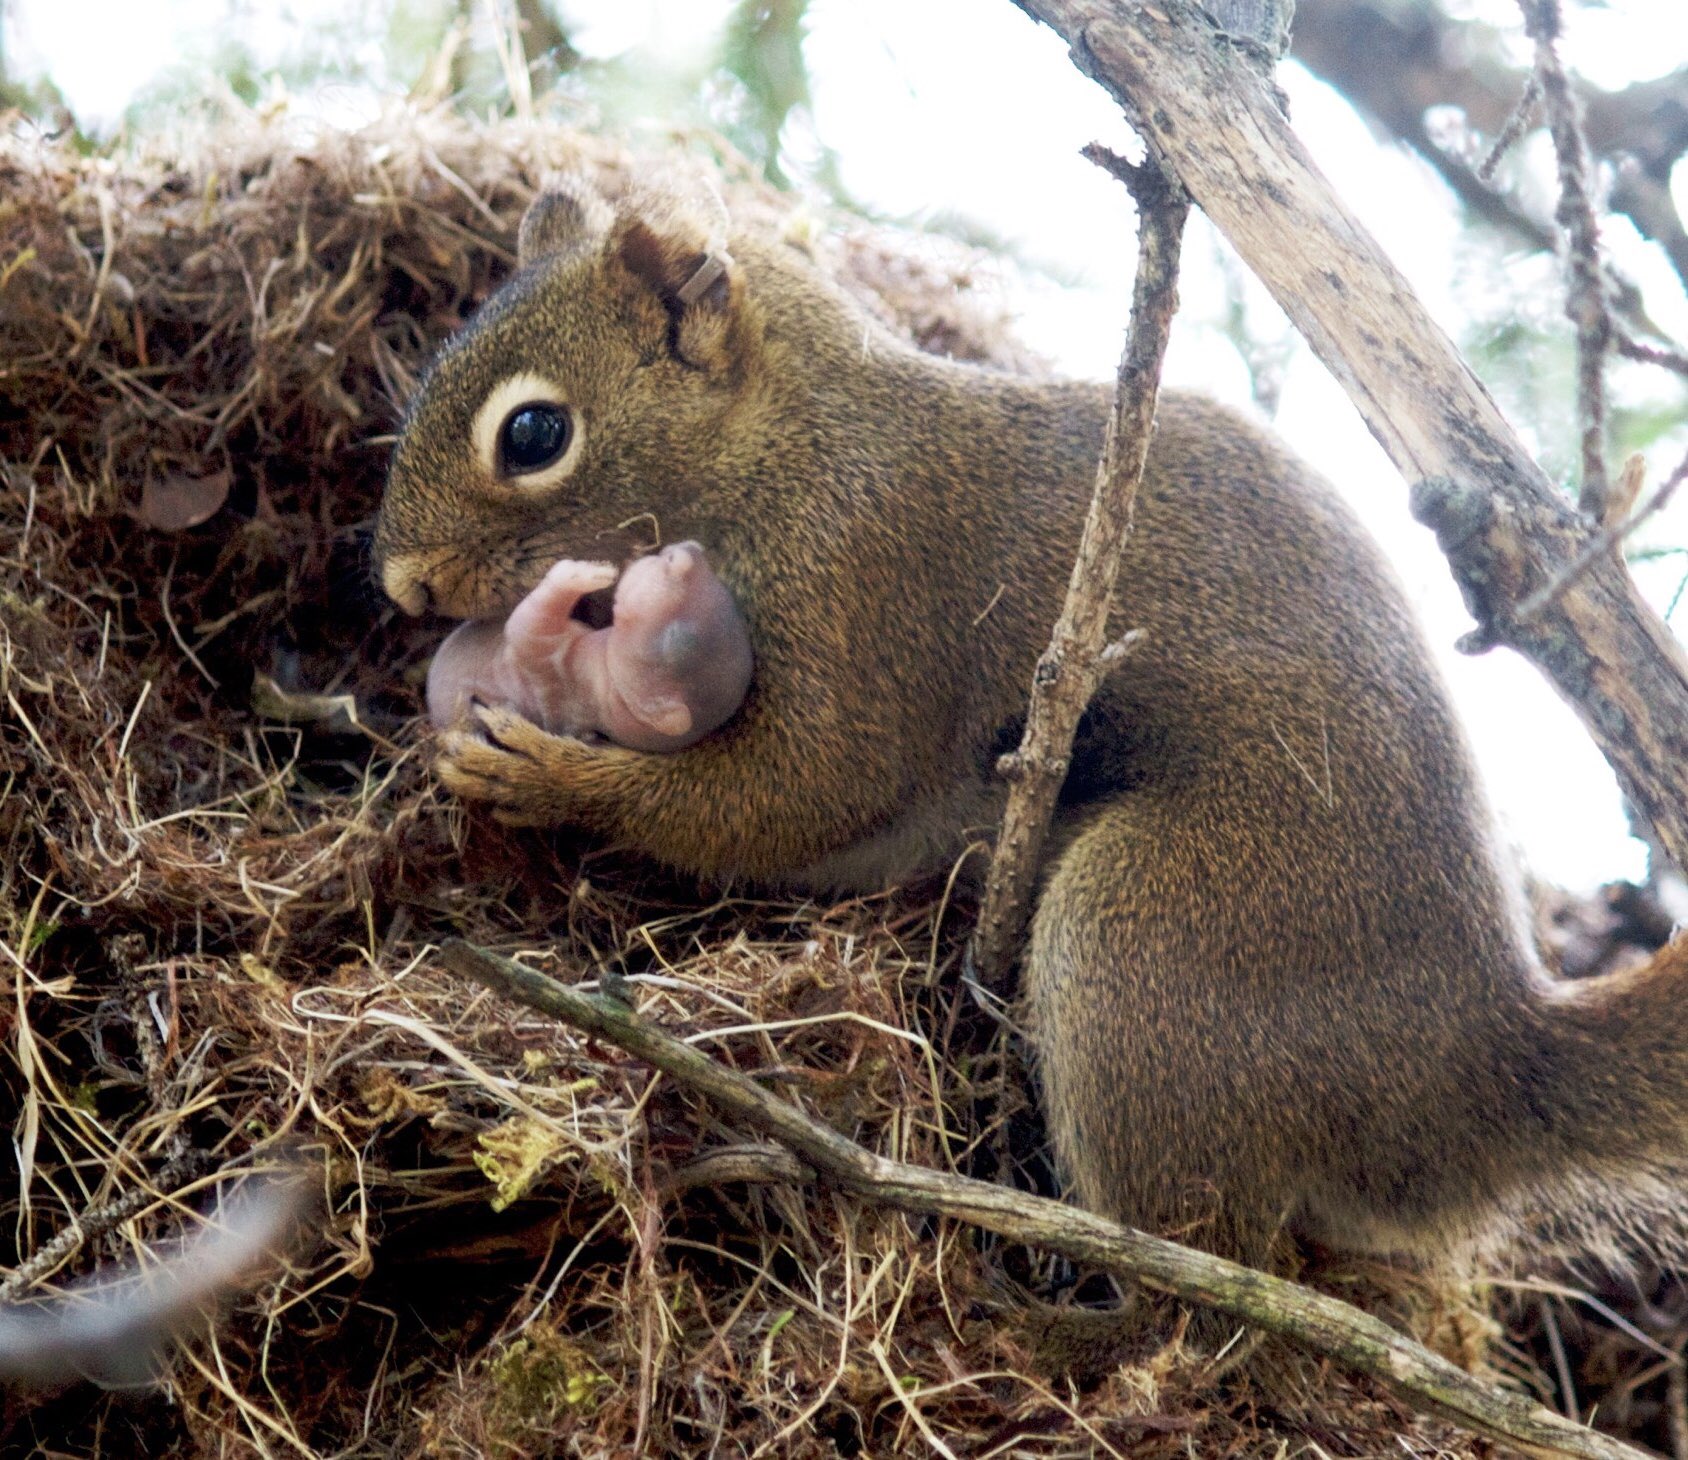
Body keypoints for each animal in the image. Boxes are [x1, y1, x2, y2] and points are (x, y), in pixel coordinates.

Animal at [376, 170, 1688, 1282]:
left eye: (534, 434)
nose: (400, 586)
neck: (788, 444)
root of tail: (1484, 1064)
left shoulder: (868, 582)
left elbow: (796, 791)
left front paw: (545, 770)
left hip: (1152, 933)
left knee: (1201, 1263)